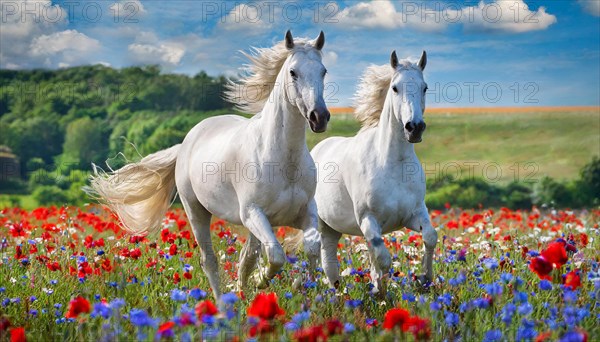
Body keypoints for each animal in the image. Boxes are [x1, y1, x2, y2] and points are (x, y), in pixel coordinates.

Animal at [89, 29, 330, 302]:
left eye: (323, 71)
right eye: (293, 72)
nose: (319, 117)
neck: (284, 160)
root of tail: (187, 141)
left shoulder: (304, 212)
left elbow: (311, 249)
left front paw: (299, 287)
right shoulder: (253, 213)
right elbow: (276, 256)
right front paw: (261, 281)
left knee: (249, 254)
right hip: (197, 211)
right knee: (210, 260)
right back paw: (223, 303)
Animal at [310, 51, 436, 294]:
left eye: (425, 87)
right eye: (395, 88)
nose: (414, 128)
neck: (393, 164)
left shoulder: (414, 214)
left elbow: (430, 237)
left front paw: (424, 279)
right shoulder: (369, 220)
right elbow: (384, 260)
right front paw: (382, 294)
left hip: (336, 228)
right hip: (322, 224)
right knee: (326, 260)